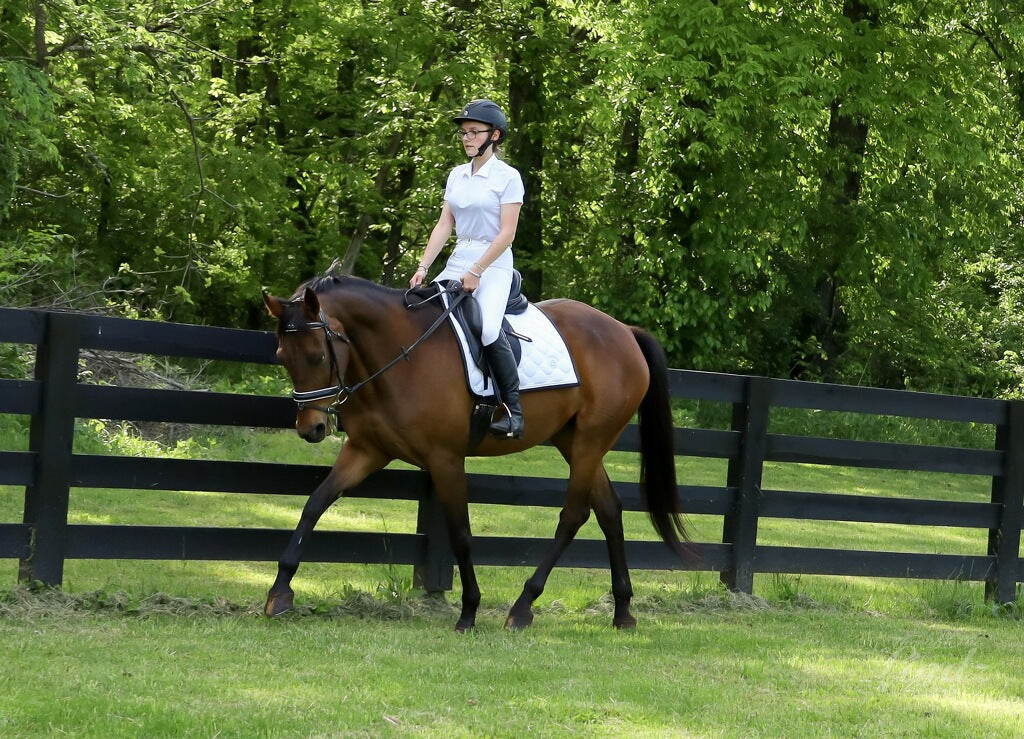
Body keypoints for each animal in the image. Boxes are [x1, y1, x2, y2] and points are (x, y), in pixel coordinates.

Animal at [262, 268, 688, 630]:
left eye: (317, 355)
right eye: (282, 357)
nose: (312, 428)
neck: (399, 354)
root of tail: (624, 331)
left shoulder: (445, 459)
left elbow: (461, 533)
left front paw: (468, 611)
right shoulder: (367, 451)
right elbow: (315, 503)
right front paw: (280, 592)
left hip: (590, 440)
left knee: (574, 515)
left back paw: (523, 607)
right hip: (574, 440)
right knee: (609, 509)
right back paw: (623, 611)